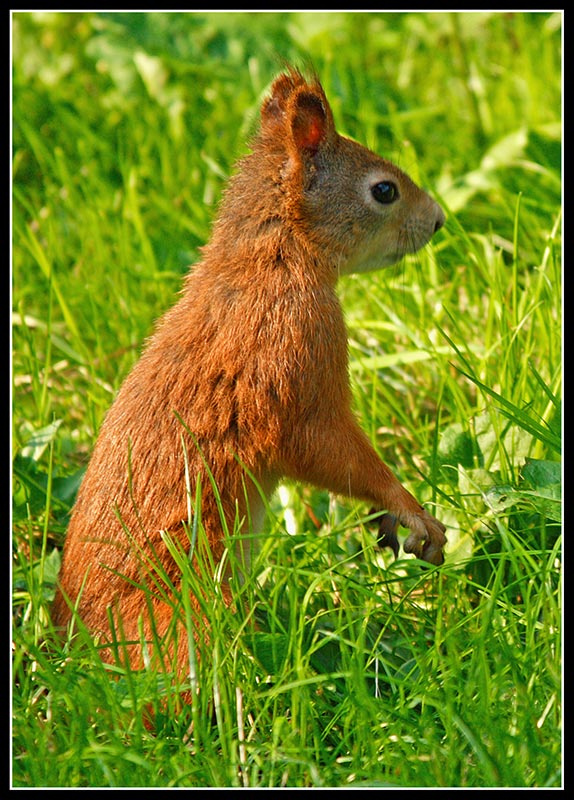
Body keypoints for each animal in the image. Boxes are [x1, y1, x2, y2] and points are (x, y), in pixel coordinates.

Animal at [52, 68, 447, 677]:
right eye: (384, 190)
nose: (437, 220)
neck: (274, 255)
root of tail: (77, 643)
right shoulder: (295, 364)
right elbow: (331, 449)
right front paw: (411, 510)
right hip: (177, 613)